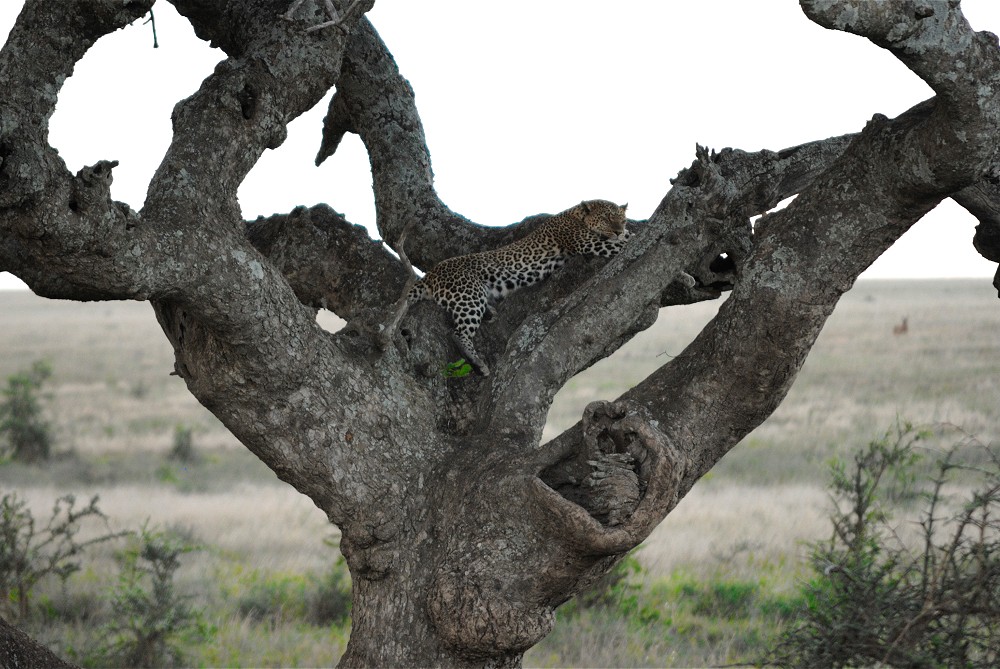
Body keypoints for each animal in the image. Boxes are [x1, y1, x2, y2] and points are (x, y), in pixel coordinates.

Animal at [394, 198, 628, 376]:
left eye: (622, 219)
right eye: (607, 218)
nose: (619, 230)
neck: (576, 214)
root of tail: (432, 274)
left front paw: (626, 234)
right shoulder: (589, 244)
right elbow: (619, 244)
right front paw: (626, 237)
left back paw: (490, 313)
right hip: (468, 294)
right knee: (458, 334)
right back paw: (478, 364)